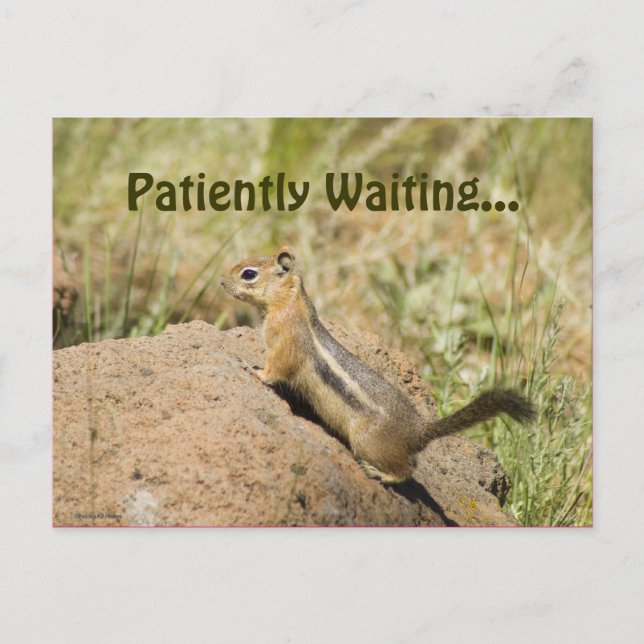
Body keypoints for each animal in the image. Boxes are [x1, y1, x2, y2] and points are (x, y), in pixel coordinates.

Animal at [220, 247, 535, 484]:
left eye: (248, 274)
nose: (222, 283)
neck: (289, 302)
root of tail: (419, 432)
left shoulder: (287, 343)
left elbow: (277, 369)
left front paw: (254, 370)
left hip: (366, 441)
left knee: (407, 471)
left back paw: (380, 474)